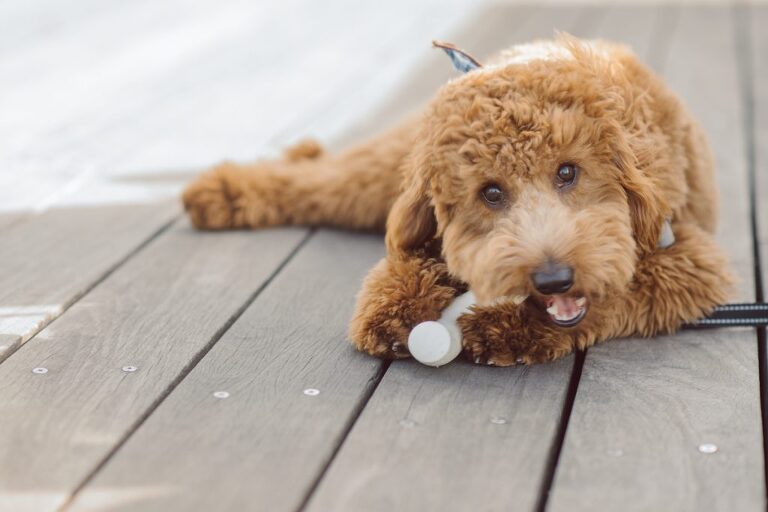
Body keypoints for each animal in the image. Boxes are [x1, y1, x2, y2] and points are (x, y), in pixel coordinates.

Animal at [180, 36, 732, 364]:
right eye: (491, 192)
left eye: (568, 172)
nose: (554, 278)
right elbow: (402, 258)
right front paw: (391, 305)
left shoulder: (688, 262)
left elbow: (617, 295)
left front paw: (505, 327)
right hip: (387, 168)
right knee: (325, 179)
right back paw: (221, 192)